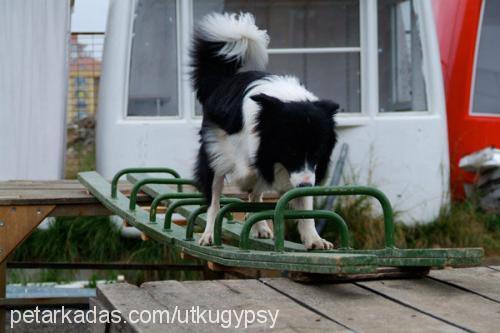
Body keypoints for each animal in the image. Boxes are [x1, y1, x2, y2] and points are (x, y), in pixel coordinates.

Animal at [191, 12, 340, 249]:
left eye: (317, 153)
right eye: (291, 152)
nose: (305, 184)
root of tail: (223, 81)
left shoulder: (302, 169)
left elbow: (304, 200)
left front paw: (314, 239)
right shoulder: (241, 149)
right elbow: (247, 173)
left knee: (255, 196)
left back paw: (260, 227)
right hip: (213, 155)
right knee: (215, 196)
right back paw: (209, 234)